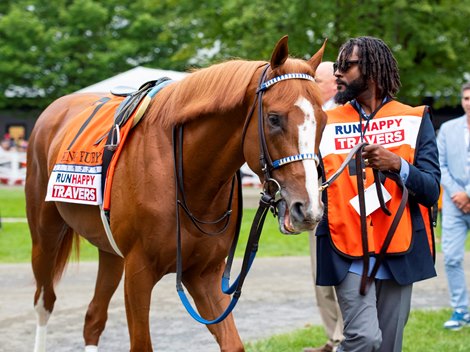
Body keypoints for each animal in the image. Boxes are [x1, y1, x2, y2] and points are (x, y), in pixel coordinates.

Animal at [24, 36, 326, 352]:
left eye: (323, 118)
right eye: (274, 118)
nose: (308, 208)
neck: (186, 176)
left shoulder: (204, 274)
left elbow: (232, 343)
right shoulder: (139, 273)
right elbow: (142, 345)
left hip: (110, 252)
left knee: (93, 318)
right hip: (45, 237)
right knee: (44, 302)